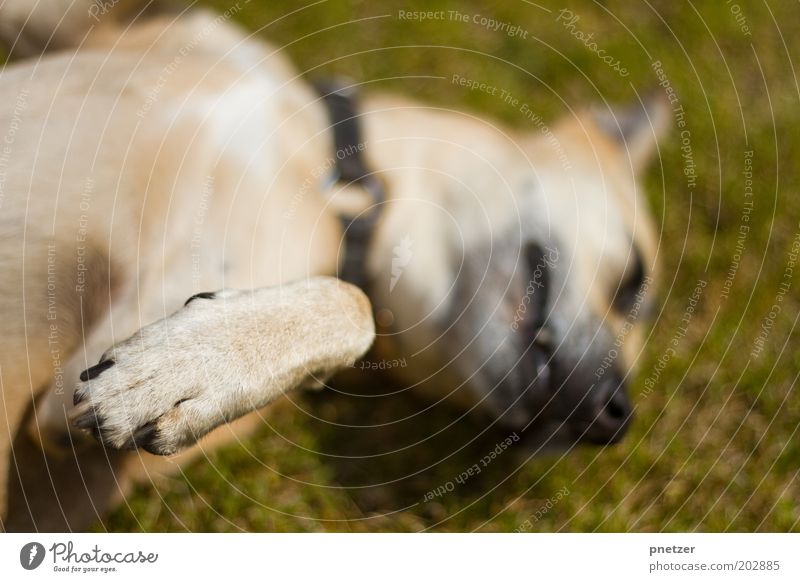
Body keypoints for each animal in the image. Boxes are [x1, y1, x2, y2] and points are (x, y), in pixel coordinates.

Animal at [0, 0, 668, 532]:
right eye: (635, 280)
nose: (615, 419)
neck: (338, 184)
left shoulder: (62, 421)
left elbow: (358, 305)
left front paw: (195, 365)